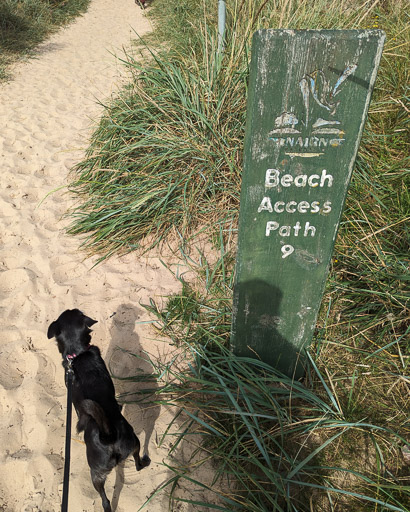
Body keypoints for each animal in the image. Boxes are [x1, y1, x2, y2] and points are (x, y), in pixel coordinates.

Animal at [47, 308, 151, 512]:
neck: (77, 353)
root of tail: (108, 435)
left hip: (96, 472)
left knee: (106, 500)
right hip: (133, 444)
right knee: (135, 467)